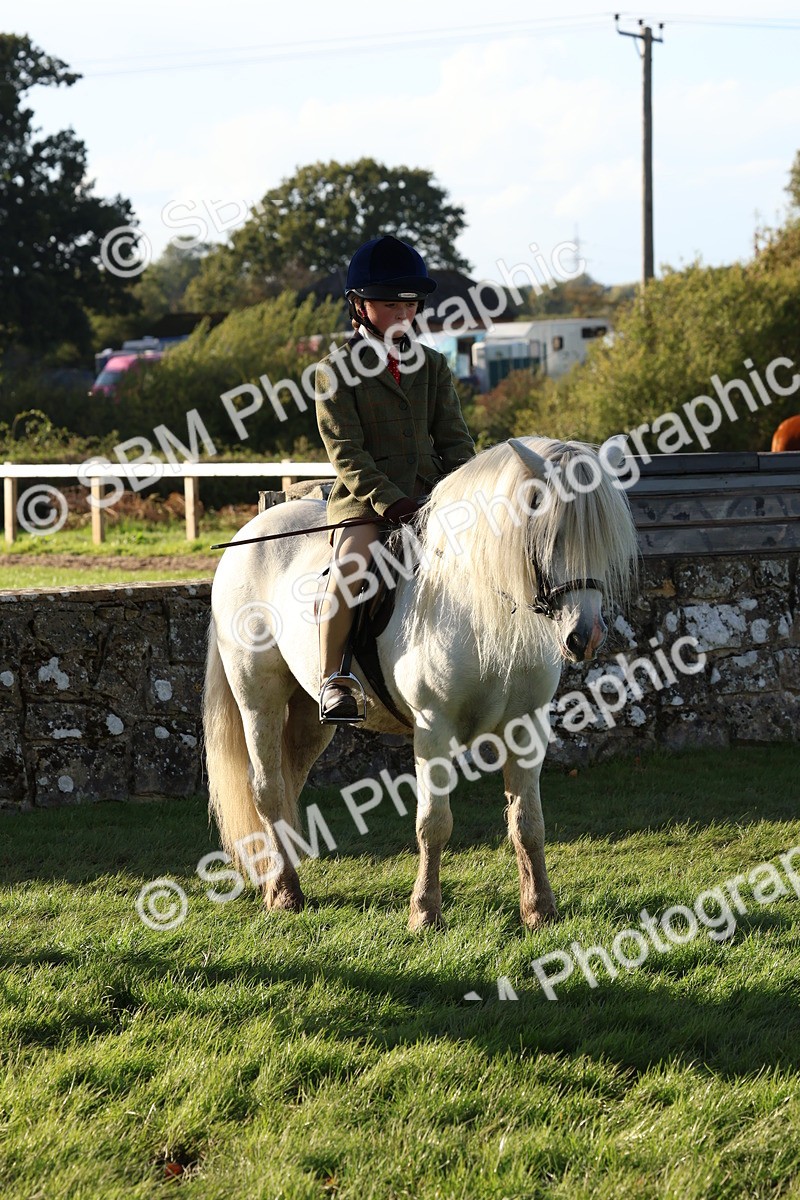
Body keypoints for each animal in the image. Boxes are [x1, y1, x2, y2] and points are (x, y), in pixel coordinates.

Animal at [203, 436, 639, 931]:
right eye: (550, 533)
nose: (585, 637)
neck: (480, 604)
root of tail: (250, 533)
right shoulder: (434, 728)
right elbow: (434, 823)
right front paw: (425, 912)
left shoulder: (527, 727)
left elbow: (528, 822)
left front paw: (539, 909)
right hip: (258, 697)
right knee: (268, 789)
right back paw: (283, 892)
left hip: (311, 715)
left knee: (288, 784)